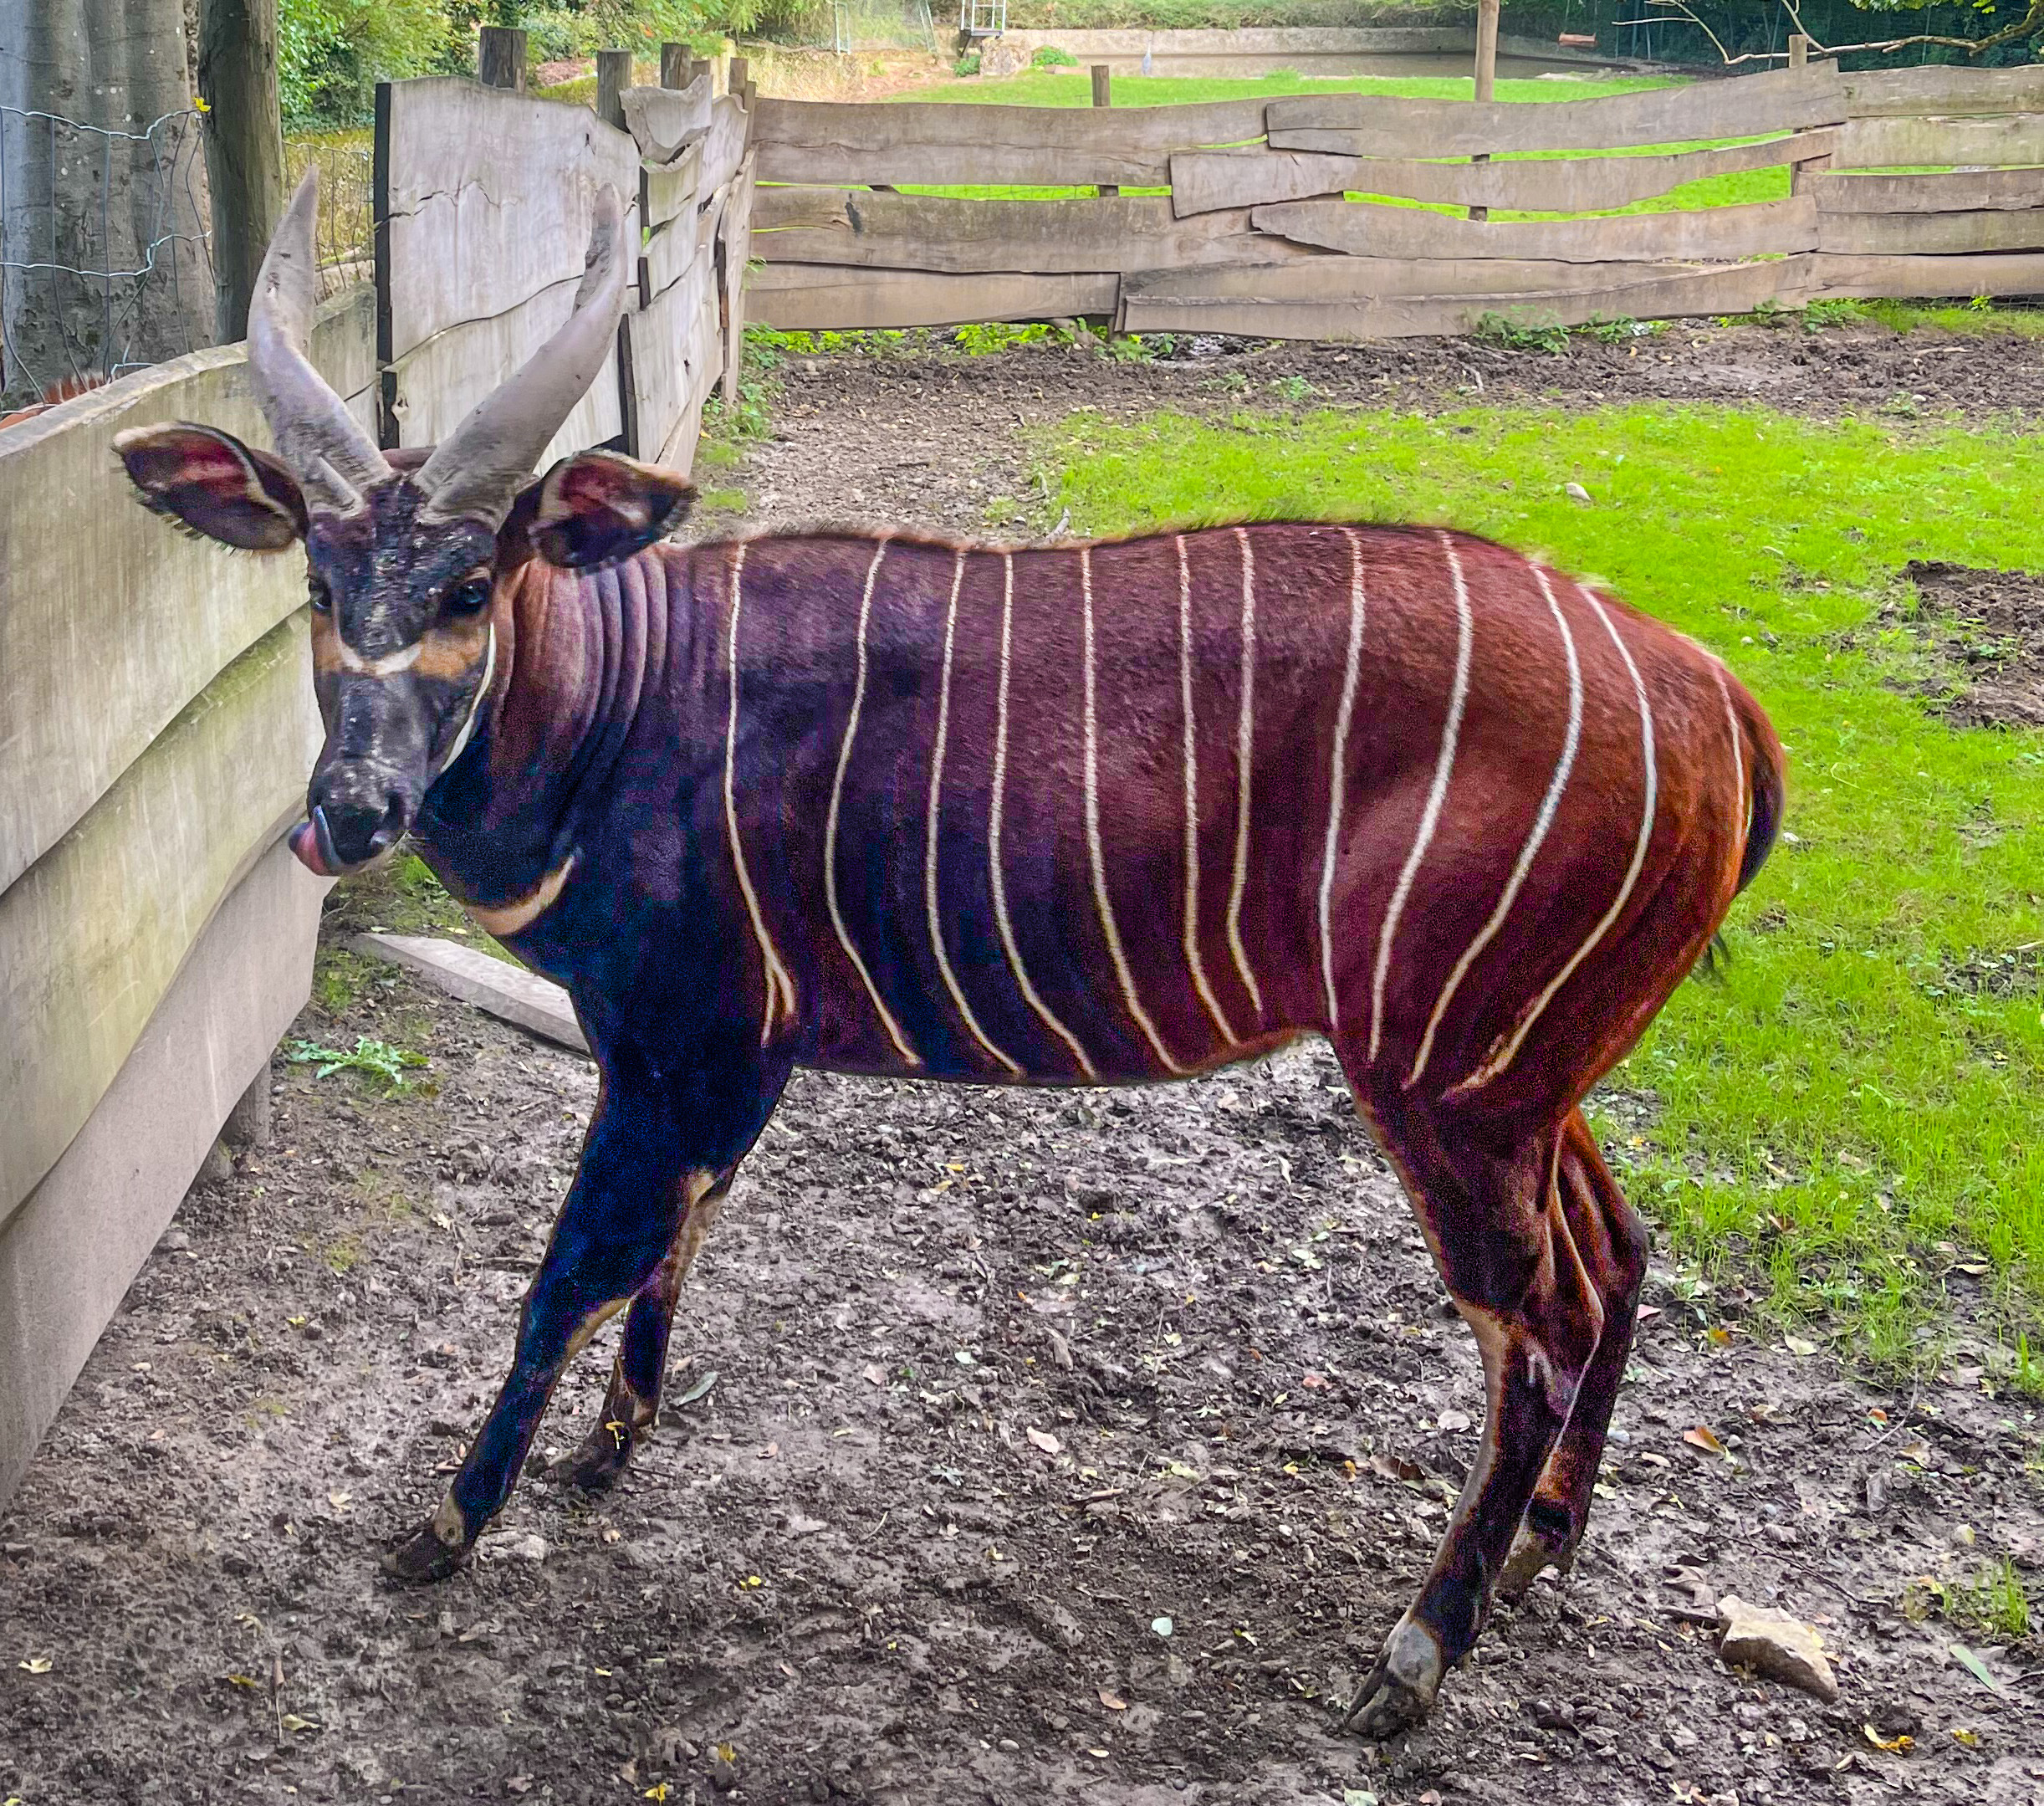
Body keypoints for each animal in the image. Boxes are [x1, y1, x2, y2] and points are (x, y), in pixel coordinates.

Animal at [116, 171, 1782, 1736]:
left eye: (470, 585)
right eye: (320, 584)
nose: (350, 809)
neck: (618, 705)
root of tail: (1719, 703)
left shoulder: (689, 1036)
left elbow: (571, 1271)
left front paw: (447, 1523)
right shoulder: (706, 1056)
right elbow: (675, 1236)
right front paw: (609, 1448)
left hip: (1448, 1082)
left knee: (1539, 1319)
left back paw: (1416, 1652)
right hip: (1520, 1080)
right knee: (1616, 1251)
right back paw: (1542, 1548)